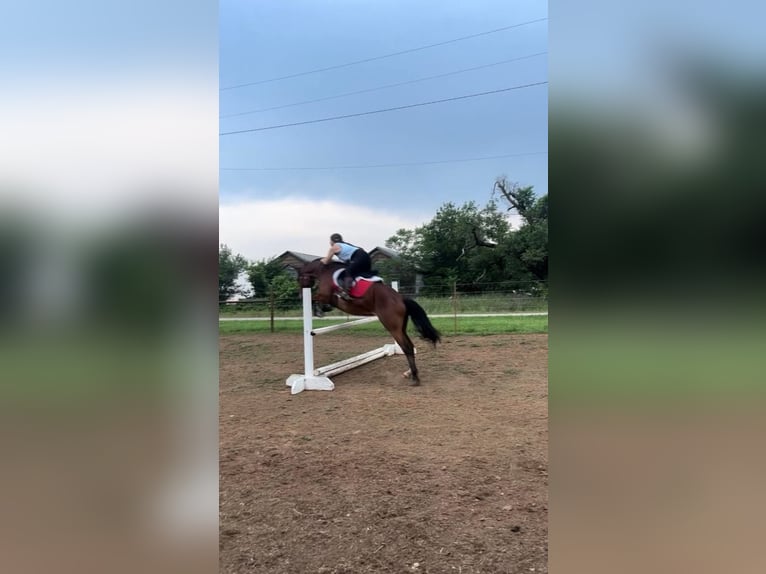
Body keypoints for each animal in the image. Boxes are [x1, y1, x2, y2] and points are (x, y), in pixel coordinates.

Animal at [300, 260, 444, 388]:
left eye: (299, 279)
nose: (300, 296)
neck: (324, 271)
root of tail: (401, 298)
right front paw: (323, 308)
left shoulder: (328, 296)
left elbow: (314, 298)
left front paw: (319, 310)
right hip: (400, 328)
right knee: (409, 346)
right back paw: (410, 373)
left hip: (393, 328)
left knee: (407, 347)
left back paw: (414, 377)